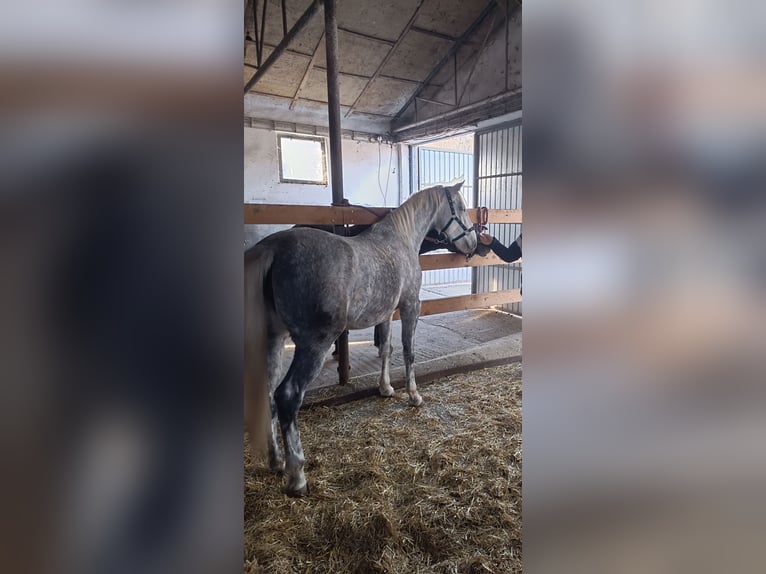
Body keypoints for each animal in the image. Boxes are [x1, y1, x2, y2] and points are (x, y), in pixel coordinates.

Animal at [246, 182, 476, 498]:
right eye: (462, 207)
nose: (473, 244)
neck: (400, 239)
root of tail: (273, 249)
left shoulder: (386, 312)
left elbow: (386, 349)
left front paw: (386, 389)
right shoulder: (410, 306)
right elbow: (408, 351)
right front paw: (414, 396)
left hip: (274, 339)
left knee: (268, 391)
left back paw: (276, 461)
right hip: (313, 345)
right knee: (288, 396)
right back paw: (297, 478)